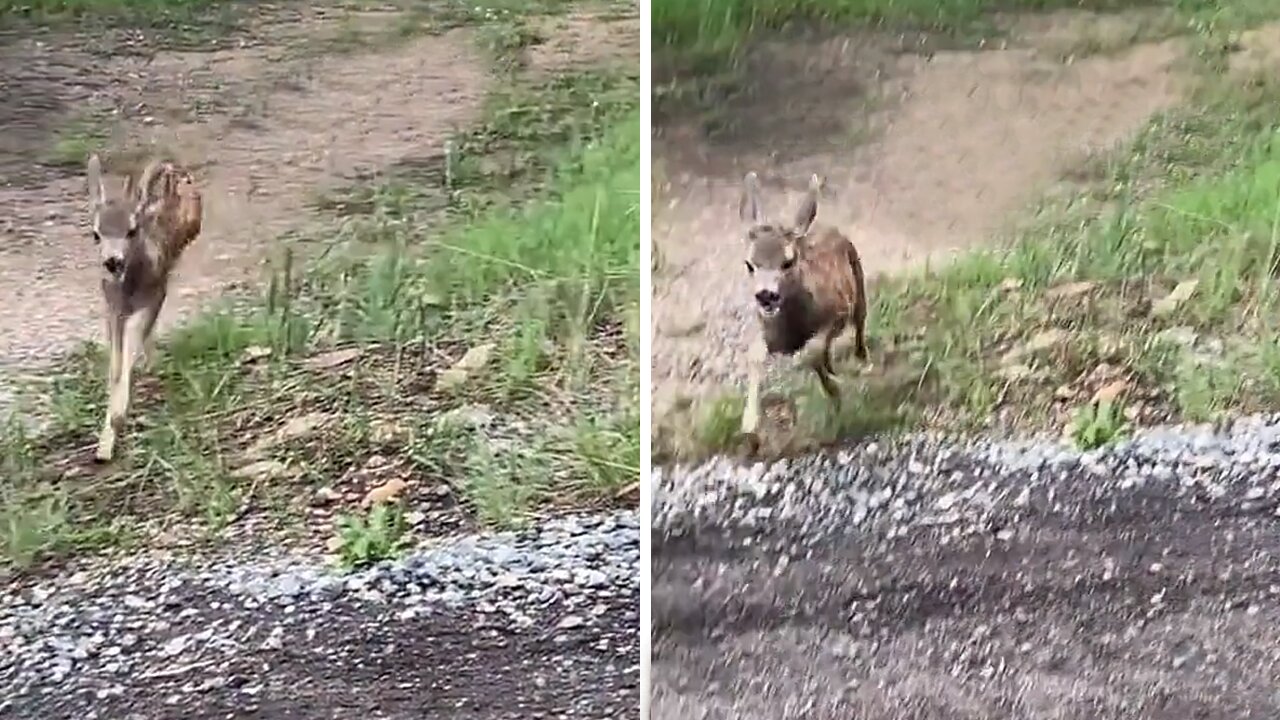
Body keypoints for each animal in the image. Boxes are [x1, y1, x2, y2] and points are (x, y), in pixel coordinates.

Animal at [86, 154, 202, 461]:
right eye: (95, 234)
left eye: (131, 230)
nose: (112, 261)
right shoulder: (112, 308)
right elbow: (115, 366)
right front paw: (104, 443)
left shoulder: (152, 297)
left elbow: (130, 350)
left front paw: (114, 426)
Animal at [742, 172, 870, 443]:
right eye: (749, 264)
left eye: (788, 262)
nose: (766, 295)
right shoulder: (768, 334)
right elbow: (754, 356)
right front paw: (749, 423)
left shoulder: (838, 312)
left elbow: (811, 351)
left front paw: (835, 391)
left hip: (858, 281)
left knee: (860, 322)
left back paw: (861, 359)